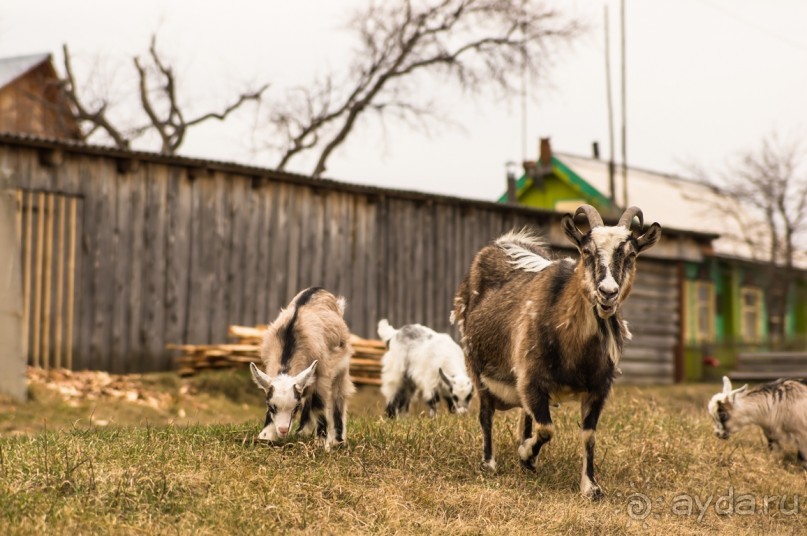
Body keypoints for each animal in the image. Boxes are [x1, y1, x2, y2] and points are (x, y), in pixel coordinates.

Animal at [249, 286, 356, 450]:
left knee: (339, 395)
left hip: (341, 368)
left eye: (295, 407)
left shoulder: (322, 374)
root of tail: (319, 289)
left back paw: (338, 440)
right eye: (272, 407)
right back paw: (302, 432)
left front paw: (322, 442)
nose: (283, 430)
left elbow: (319, 404)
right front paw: (266, 436)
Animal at [452, 204, 660, 498]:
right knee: (486, 414)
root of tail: (502, 242)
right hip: (476, 365)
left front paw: (590, 486)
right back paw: (489, 463)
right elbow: (546, 428)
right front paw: (526, 454)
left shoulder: (599, 388)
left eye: (631, 254)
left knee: (524, 416)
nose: (607, 292)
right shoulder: (531, 378)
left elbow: (588, 435)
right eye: (586, 251)